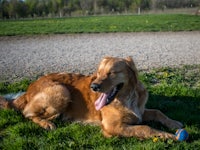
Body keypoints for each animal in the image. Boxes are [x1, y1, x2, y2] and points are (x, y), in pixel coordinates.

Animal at [0, 56, 183, 140]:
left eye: (111, 73)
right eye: (99, 72)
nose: (93, 86)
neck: (126, 97)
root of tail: (29, 88)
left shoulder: (139, 111)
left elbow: (157, 112)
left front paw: (174, 123)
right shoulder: (112, 126)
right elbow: (145, 128)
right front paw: (167, 135)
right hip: (61, 90)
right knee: (27, 114)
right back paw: (47, 123)